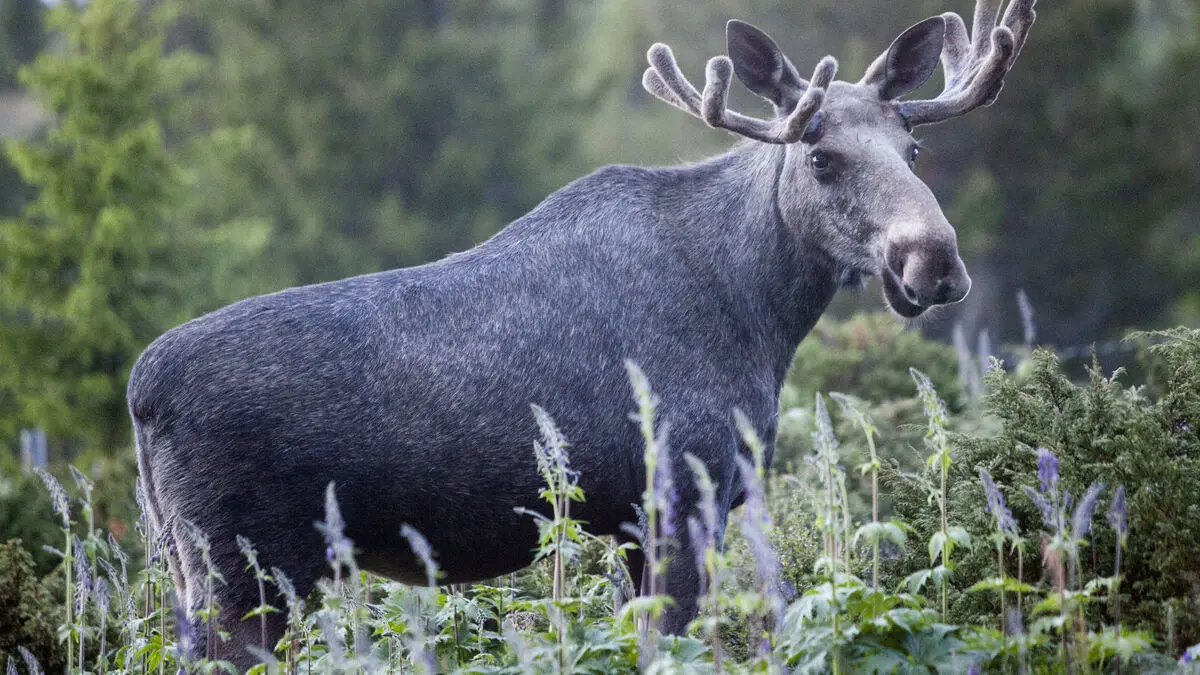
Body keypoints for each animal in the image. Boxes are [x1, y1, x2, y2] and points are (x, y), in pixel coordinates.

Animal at [127, 0, 1036, 666]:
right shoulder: (677, 490)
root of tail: (140, 393)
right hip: (243, 572)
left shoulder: (639, 517)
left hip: (193, 566)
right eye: (821, 159)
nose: (933, 260)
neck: (760, 314)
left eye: (913, 147)